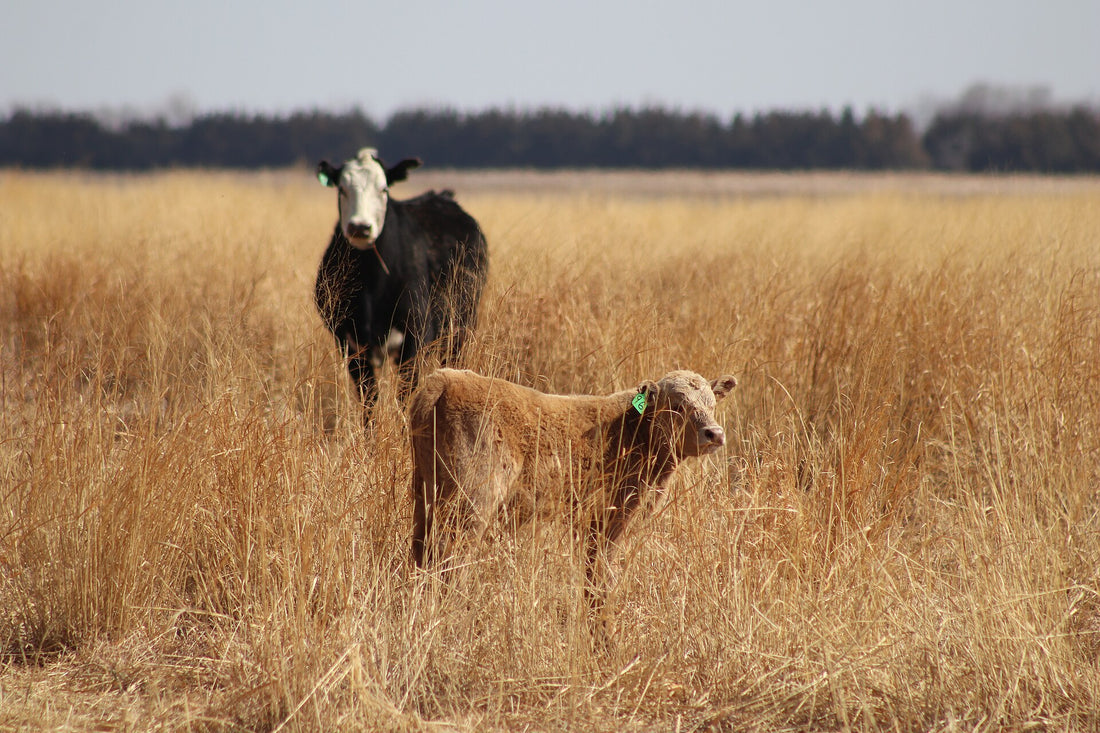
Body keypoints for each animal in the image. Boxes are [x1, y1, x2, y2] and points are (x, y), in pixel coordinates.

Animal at [314, 148, 488, 427]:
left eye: (384, 189)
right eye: (342, 188)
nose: (360, 227)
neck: (372, 287)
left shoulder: (414, 338)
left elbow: (405, 397)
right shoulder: (350, 343)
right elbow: (369, 400)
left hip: (460, 327)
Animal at [408, 368, 737, 612]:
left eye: (711, 404)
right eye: (677, 406)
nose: (714, 433)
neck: (635, 431)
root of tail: (445, 378)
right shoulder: (608, 519)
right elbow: (600, 573)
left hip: (425, 493)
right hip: (472, 501)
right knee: (450, 557)